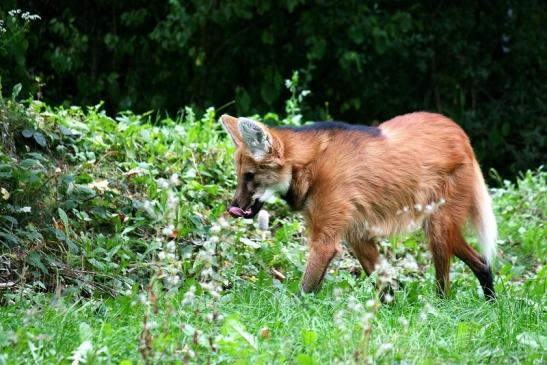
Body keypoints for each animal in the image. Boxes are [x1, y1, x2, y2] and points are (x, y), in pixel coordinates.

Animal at [219, 113, 496, 298]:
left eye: (250, 176)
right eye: (240, 175)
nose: (233, 207)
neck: (311, 164)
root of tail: (460, 133)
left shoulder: (326, 241)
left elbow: (305, 289)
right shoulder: (356, 233)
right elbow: (384, 284)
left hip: (438, 226)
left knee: (445, 282)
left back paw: (441, 307)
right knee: (482, 260)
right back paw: (491, 302)